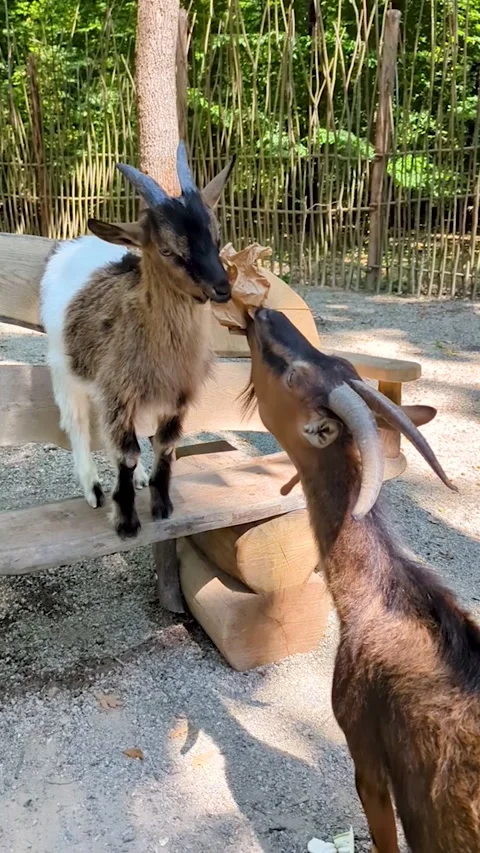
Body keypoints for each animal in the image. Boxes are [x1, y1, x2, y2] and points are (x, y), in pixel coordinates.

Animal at [41, 142, 234, 539]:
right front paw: (126, 521)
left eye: (217, 236)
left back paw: (140, 479)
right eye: (166, 250)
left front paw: (161, 506)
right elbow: (126, 453)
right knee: (78, 423)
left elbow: (165, 444)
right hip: (64, 367)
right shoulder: (119, 390)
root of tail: (78, 243)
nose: (222, 288)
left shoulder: (177, 394)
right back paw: (93, 489)